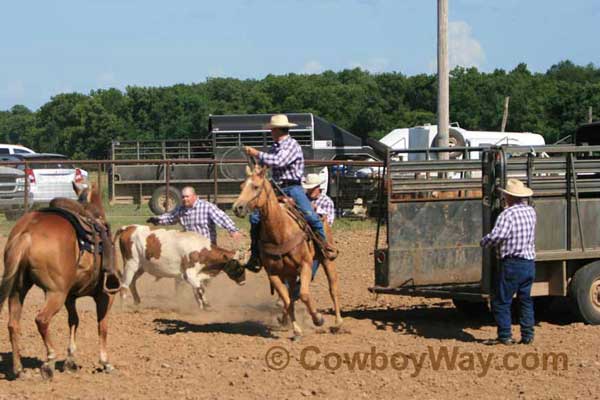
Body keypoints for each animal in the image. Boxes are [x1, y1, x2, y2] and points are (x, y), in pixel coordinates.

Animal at [0, 181, 116, 378]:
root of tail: (26, 233)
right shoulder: (105, 295)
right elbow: (103, 326)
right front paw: (105, 362)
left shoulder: (71, 296)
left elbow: (74, 321)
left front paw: (70, 361)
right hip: (56, 293)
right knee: (41, 320)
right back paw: (49, 360)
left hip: (18, 289)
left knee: (13, 325)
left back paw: (19, 369)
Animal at [113, 225, 245, 310]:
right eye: (238, 267)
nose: (243, 282)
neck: (202, 250)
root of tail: (129, 228)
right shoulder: (189, 274)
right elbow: (199, 289)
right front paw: (206, 305)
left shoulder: (196, 276)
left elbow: (198, 290)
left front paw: (202, 306)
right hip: (131, 263)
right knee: (124, 285)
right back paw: (122, 308)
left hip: (141, 267)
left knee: (132, 283)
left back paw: (137, 302)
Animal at [233, 164, 344, 340]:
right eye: (242, 186)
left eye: (256, 186)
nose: (237, 208)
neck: (280, 231)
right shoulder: (273, 273)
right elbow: (286, 299)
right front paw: (296, 330)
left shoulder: (305, 265)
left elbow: (304, 295)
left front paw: (318, 319)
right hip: (290, 273)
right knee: (291, 295)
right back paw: (285, 319)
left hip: (327, 260)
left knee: (332, 288)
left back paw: (338, 323)